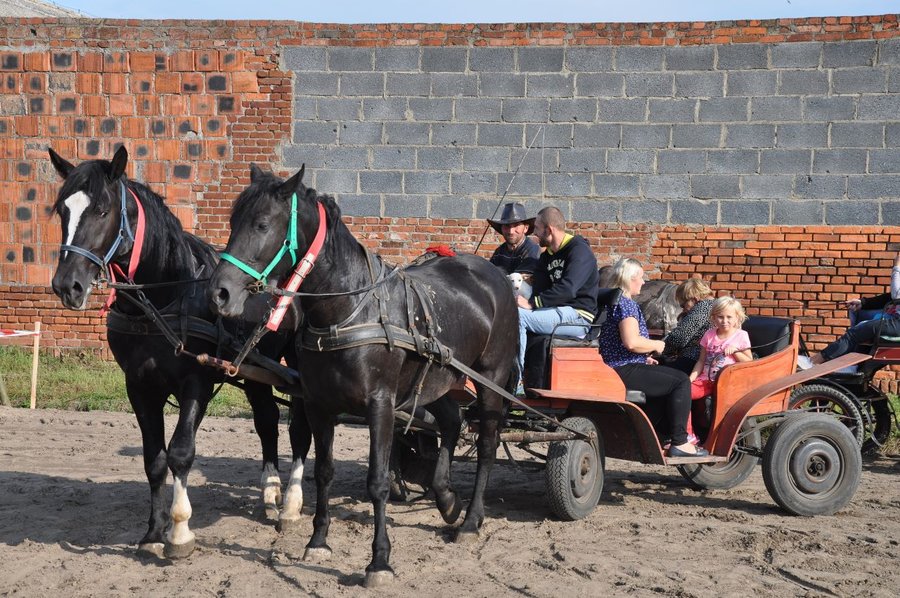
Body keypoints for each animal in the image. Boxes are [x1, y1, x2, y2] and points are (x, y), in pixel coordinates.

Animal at [47, 146, 310, 558]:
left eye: (103, 211)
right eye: (62, 210)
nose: (67, 285)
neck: (167, 294)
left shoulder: (196, 382)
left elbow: (181, 452)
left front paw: (180, 531)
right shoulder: (139, 386)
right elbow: (154, 459)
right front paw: (153, 532)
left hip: (300, 366)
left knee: (300, 428)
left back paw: (291, 506)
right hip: (254, 371)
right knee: (266, 420)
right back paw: (270, 493)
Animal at [208, 165, 519, 587]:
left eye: (262, 224)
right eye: (232, 221)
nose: (219, 293)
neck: (348, 310)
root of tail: (493, 273)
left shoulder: (381, 406)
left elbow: (378, 481)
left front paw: (379, 561)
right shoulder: (319, 405)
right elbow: (324, 471)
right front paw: (318, 541)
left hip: (491, 381)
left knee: (486, 445)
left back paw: (470, 521)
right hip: (439, 381)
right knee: (452, 424)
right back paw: (446, 498)